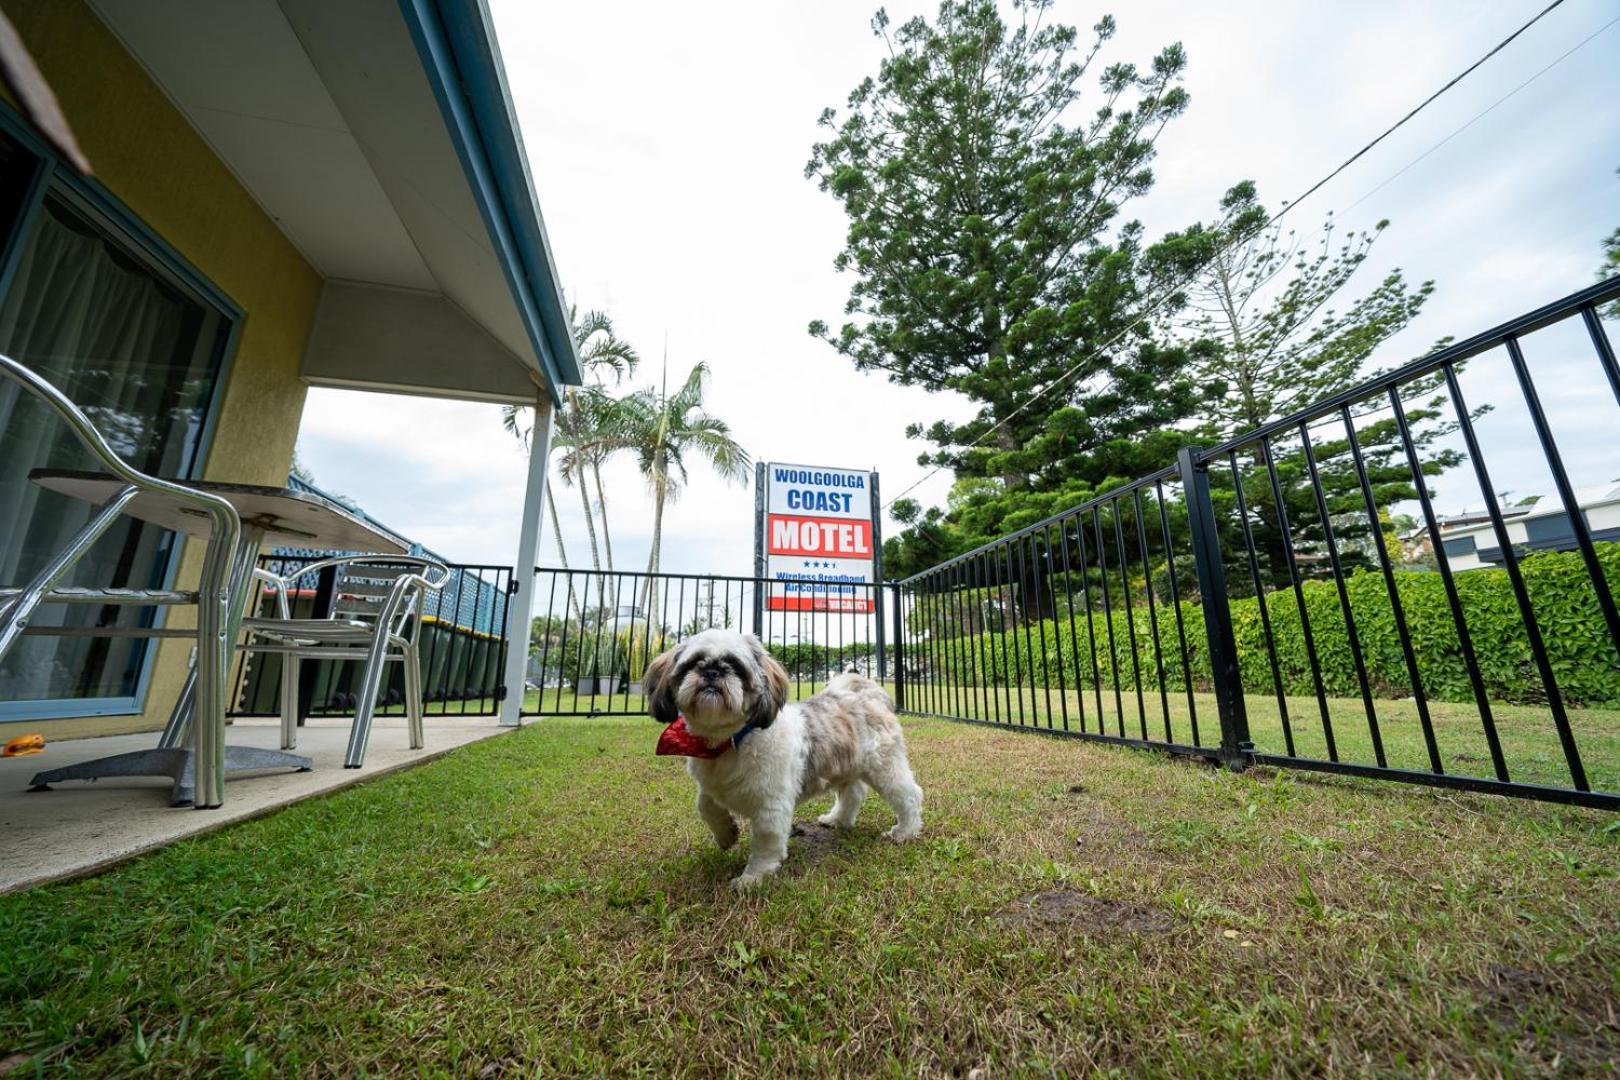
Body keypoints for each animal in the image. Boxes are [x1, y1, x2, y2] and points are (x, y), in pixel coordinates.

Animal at [641, 628, 926, 893]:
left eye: (735, 666)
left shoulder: (771, 805)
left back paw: (904, 832)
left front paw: (752, 878)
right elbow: (704, 805)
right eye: (692, 663)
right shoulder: (711, 784)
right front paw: (726, 834)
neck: (729, 742)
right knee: (853, 793)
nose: (712, 671)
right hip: (846, 765)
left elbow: (766, 842)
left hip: (884, 766)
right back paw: (837, 819)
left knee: (908, 794)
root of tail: (867, 694)